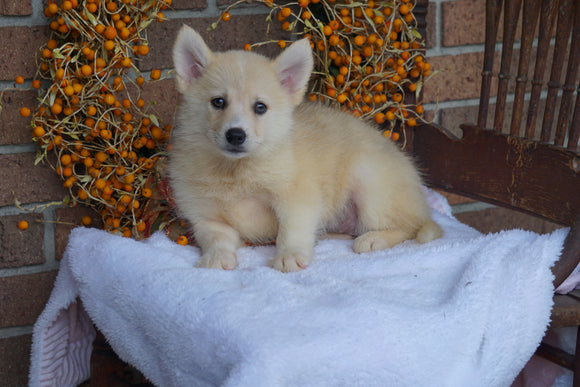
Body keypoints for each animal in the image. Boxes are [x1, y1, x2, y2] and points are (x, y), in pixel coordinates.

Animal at [170, 25, 442, 272]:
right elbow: (216, 239)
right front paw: (216, 259)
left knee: (410, 227)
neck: (235, 171)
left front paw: (288, 257)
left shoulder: (297, 198)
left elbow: (291, 230)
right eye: (218, 102)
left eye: (260, 107)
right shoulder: (206, 217)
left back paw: (374, 239)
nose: (235, 135)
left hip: (370, 184)